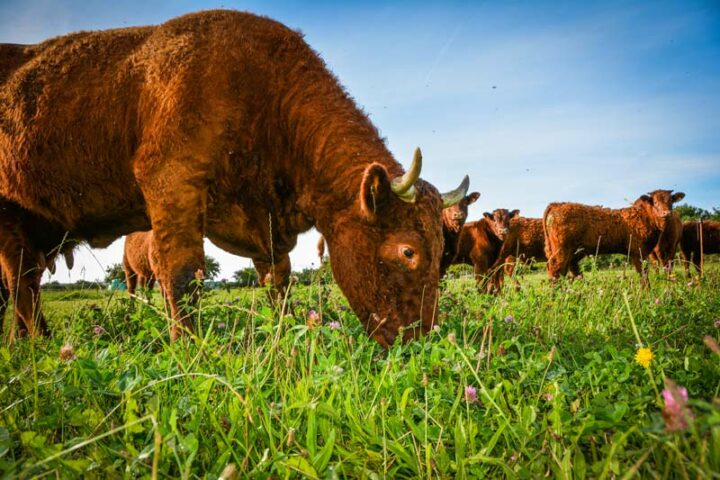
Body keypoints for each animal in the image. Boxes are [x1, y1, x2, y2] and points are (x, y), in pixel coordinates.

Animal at [0, 11, 466, 346]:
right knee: (22, 283)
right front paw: (188, 347)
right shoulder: (172, 187)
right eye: (408, 251)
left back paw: (29, 341)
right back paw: (35, 344)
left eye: (443, 248)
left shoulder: (269, 226)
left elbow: (279, 282)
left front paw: (285, 330)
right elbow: (183, 276)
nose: (421, 340)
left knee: (24, 284)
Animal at [544, 189, 688, 284]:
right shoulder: (638, 251)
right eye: (656, 202)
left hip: (574, 251)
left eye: (671, 201)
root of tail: (557, 204)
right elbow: (644, 276)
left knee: (567, 269)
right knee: (556, 270)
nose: (667, 213)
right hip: (562, 250)